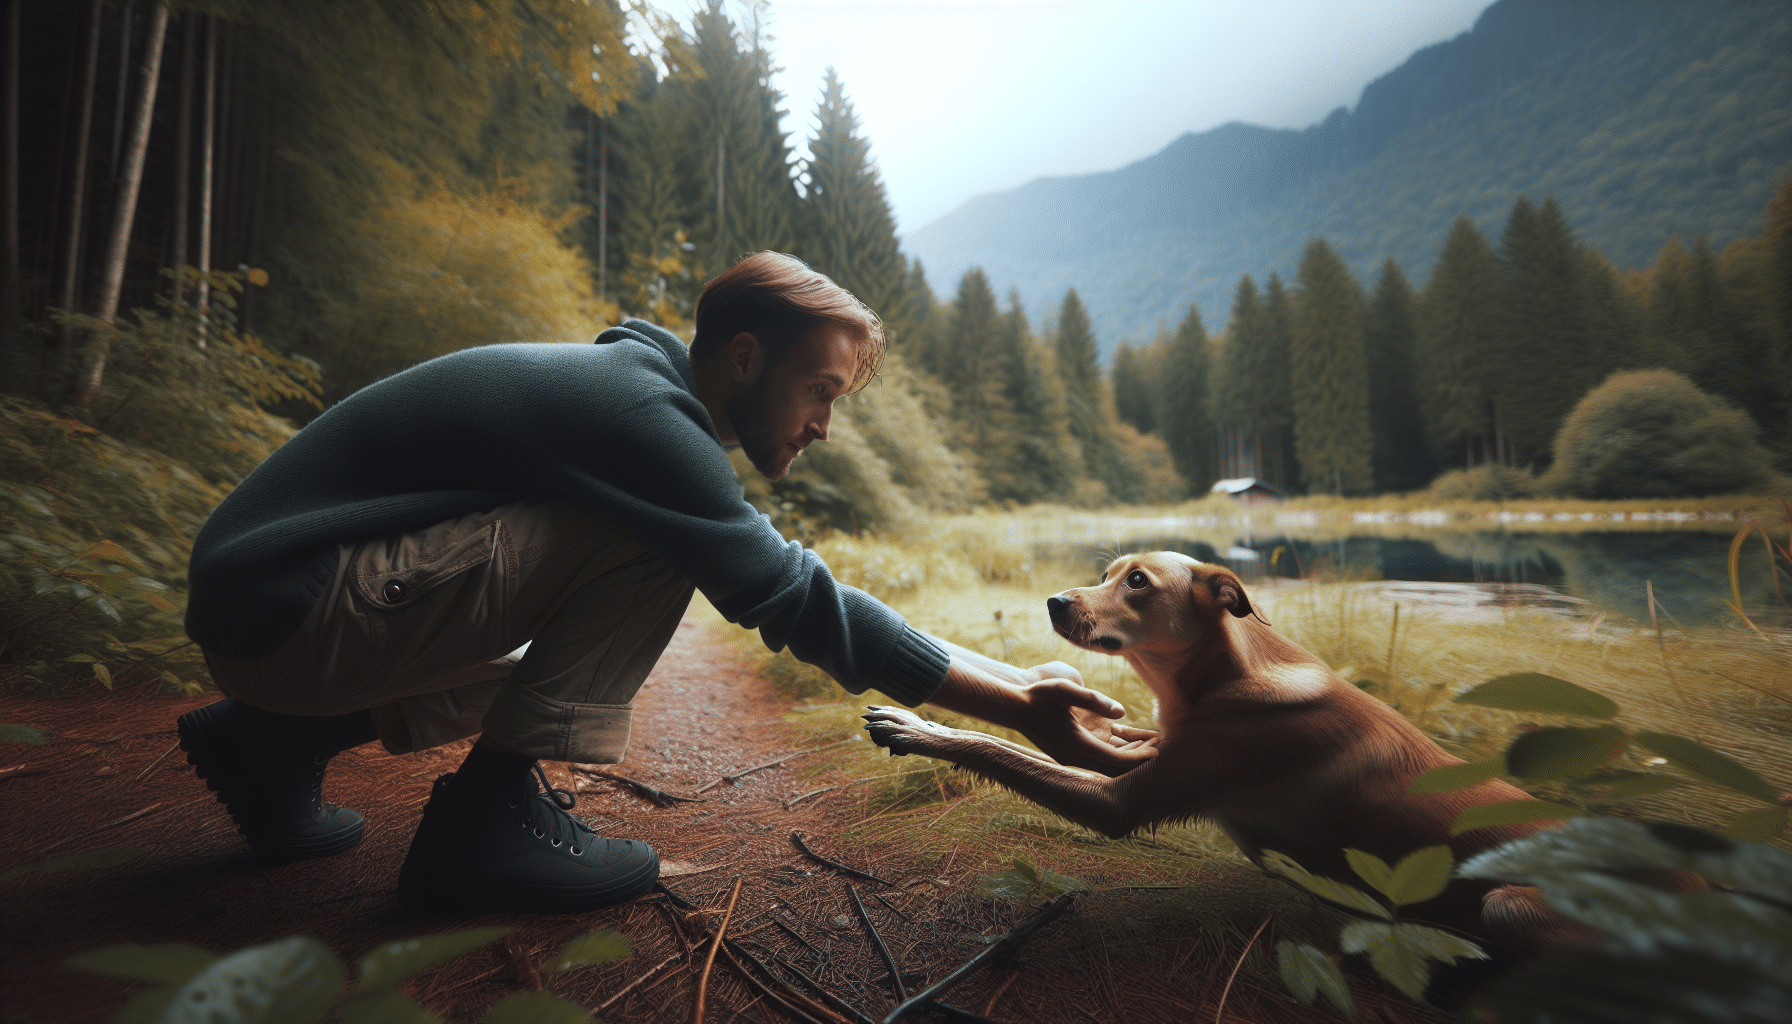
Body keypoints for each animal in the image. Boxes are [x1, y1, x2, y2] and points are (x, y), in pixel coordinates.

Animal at [863, 555, 1569, 946]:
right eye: (1106, 574)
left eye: (1138, 582)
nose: (1055, 601)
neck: (1216, 679)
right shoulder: (1155, 749)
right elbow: (1111, 738)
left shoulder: (1123, 800)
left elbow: (999, 746)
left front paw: (921, 730)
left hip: (1508, 906)